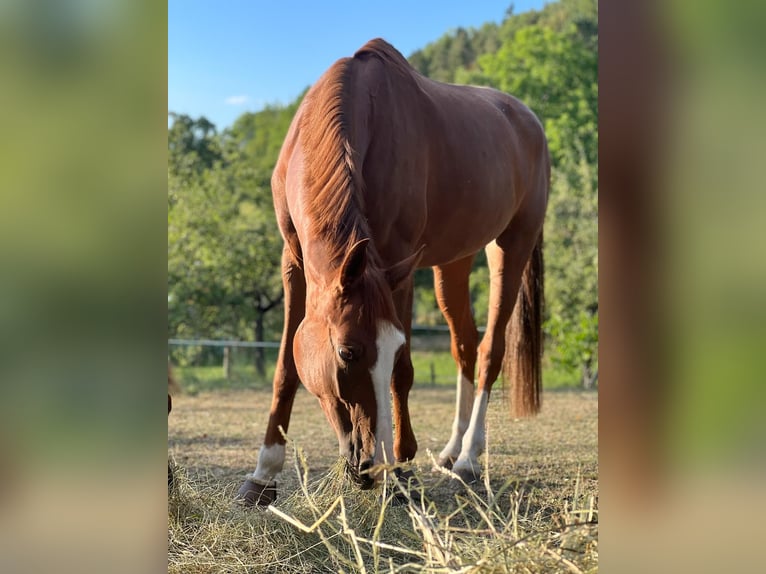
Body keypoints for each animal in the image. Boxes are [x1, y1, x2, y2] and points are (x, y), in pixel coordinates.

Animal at [237, 38, 548, 506]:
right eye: (348, 352)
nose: (370, 465)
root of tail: (530, 121)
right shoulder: (294, 262)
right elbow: (285, 368)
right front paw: (263, 474)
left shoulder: (397, 264)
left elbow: (404, 373)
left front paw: (403, 470)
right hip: (453, 262)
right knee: (465, 345)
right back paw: (451, 450)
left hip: (511, 247)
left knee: (491, 350)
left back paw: (469, 457)